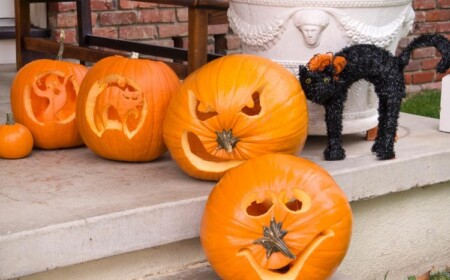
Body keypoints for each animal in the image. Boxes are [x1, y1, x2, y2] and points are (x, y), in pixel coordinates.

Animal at [298, 34, 450, 161]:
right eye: (308, 81)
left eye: (325, 80)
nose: (318, 89)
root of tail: (397, 61)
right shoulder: (331, 104)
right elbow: (331, 127)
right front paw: (332, 152)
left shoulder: (336, 101)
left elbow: (335, 128)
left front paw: (335, 154)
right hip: (384, 98)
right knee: (383, 122)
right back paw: (378, 147)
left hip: (392, 96)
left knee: (391, 124)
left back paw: (386, 153)